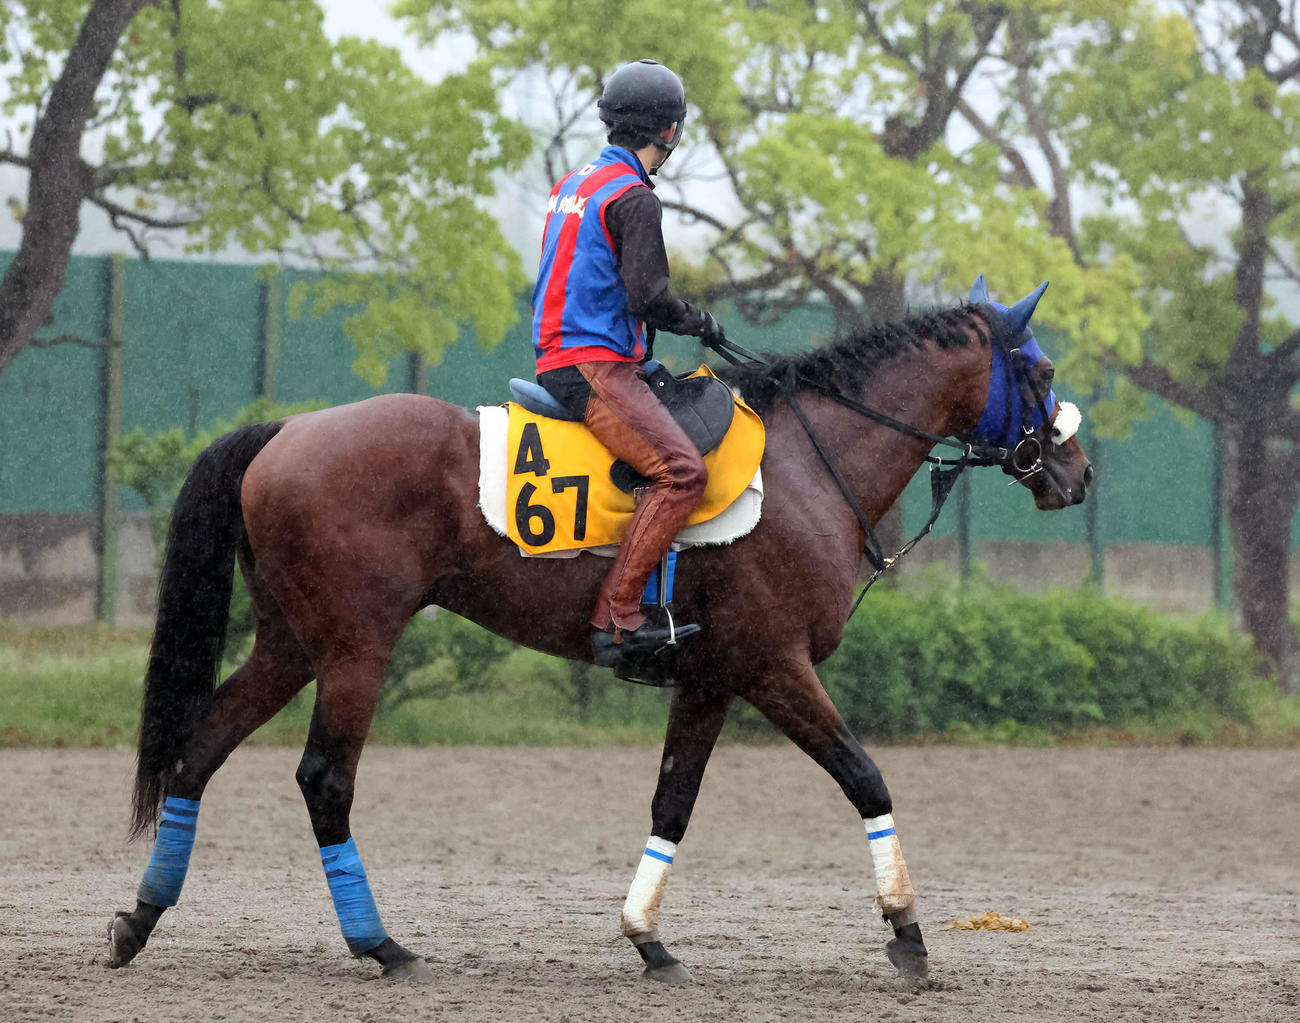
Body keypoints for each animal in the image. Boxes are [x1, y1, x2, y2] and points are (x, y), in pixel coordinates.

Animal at [106, 277, 1093, 984]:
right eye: (1040, 373)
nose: (1078, 472)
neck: (811, 463)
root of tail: (282, 431)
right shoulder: (774, 667)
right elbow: (865, 776)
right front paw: (908, 931)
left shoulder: (710, 679)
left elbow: (672, 803)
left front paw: (647, 937)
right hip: (355, 647)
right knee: (324, 780)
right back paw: (379, 943)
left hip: (290, 643)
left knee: (200, 749)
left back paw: (140, 919)